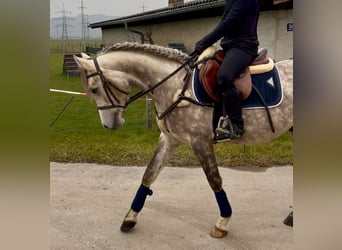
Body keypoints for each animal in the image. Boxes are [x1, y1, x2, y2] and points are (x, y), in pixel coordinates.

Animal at [73, 42, 292, 237]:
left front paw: (222, 222)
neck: (177, 86)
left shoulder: (200, 142)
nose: (108, 125)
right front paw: (130, 218)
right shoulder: (169, 139)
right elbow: (149, 174)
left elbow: (214, 180)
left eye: (94, 89)